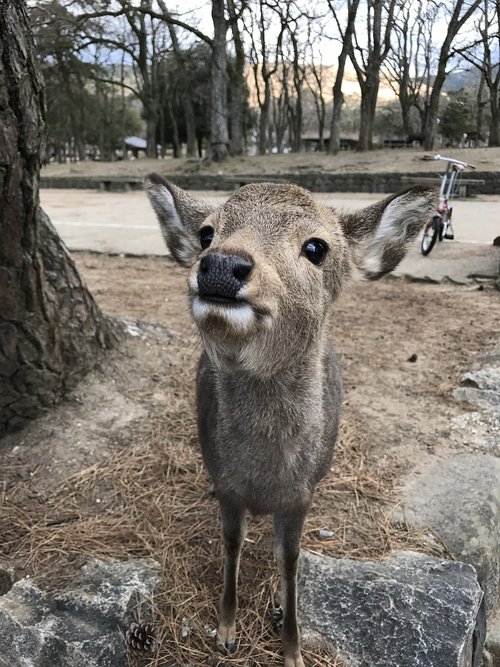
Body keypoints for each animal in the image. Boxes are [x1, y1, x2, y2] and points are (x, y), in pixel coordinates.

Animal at [145, 176, 438, 667]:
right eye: (207, 233)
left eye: (316, 246)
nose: (221, 263)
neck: (265, 481)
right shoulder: (228, 484)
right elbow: (232, 544)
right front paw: (226, 631)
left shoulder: (301, 495)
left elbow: (291, 559)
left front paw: (292, 648)